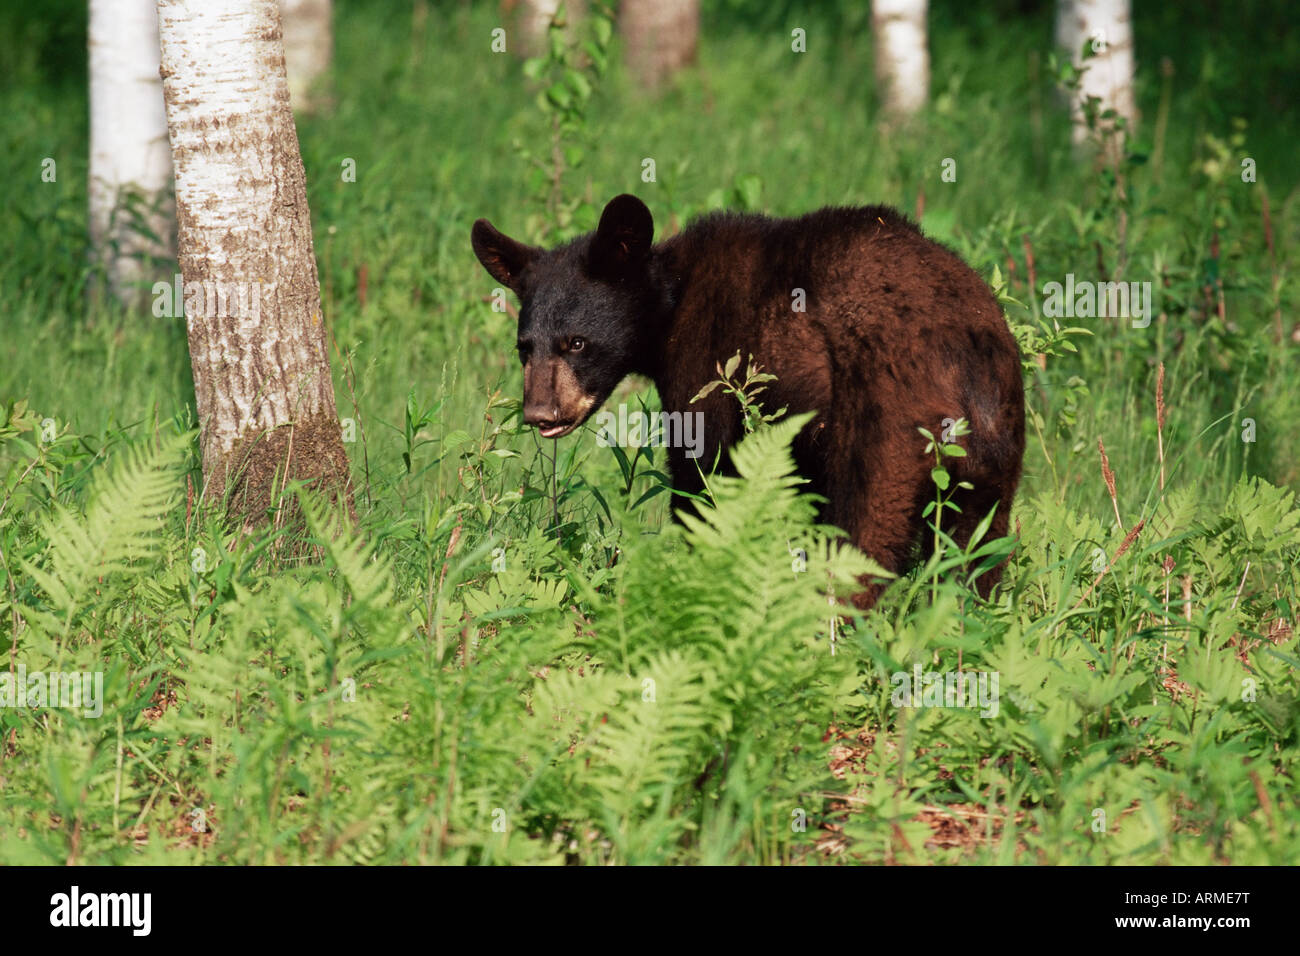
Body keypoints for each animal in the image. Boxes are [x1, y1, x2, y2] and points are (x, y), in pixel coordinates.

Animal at [471, 194, 1025, 608]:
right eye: (525, 347)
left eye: (577, 343)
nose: (540, 413)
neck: (671, 301)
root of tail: (958, 358)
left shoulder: (709, 368)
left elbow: (705, 479)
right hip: (996, 444)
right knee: (974, 553)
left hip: (883, 424)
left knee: (864, 535)